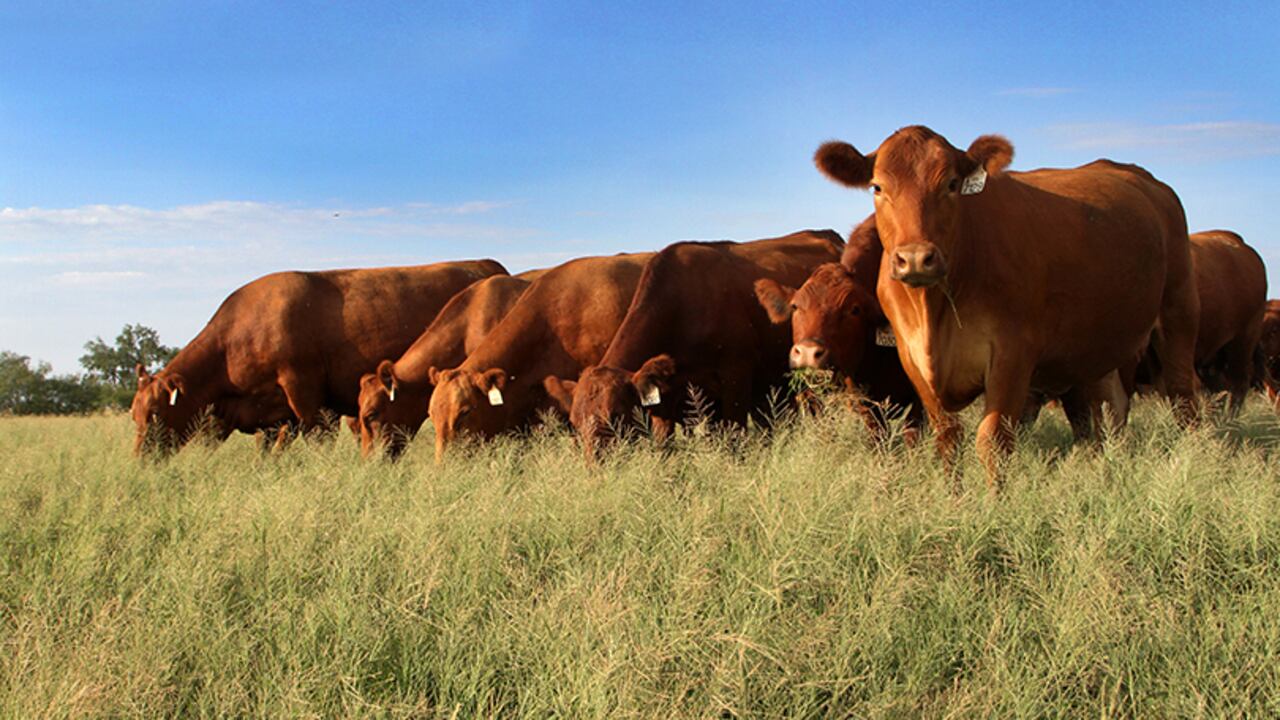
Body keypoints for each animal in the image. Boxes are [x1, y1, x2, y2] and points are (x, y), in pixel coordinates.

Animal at [131, 259, 505, 455]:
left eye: (156, 413)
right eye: (134, 415)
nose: (140, 459)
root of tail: (486, 264)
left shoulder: (304, 393)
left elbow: (316, 439)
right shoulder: (269, 415)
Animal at [543, 231, 843, 457]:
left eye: (615, 416)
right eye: (574, 422)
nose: (596, 467)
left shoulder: (736, 379)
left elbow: (733, 438)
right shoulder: (666, 399)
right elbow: (665, 448)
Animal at [814, 125, 1199, 483]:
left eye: (952, 184)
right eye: (878, 188)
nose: (916, 259)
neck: (935, 315)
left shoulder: (1012, 354)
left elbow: (994, 439)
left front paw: (992, 504)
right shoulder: (913, 359)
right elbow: (948, 439)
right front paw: (955, 501)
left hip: (1178, 313)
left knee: (1183, 397)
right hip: (1102, 344)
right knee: (1111, 407)